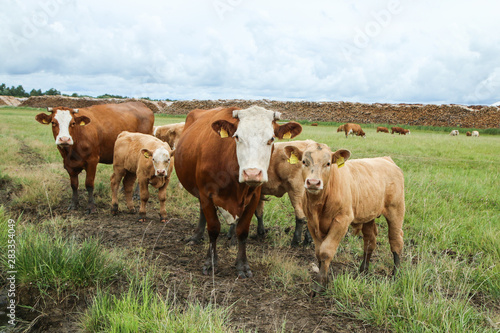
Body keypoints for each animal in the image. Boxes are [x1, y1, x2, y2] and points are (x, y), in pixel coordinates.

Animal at [174, 105, 302, 276]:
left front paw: (242, 264)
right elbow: (213, 228)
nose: (252, 173)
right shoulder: (206, 194)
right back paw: (196, 236)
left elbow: (242, 231)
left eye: (271, 139)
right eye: (237, 137)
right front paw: (211, 262)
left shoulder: (254, 197)